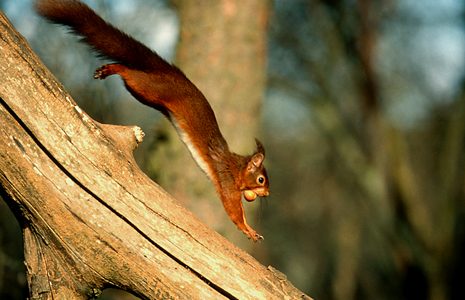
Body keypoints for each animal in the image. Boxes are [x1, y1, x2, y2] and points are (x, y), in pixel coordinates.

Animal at [37, 0, 268, 239]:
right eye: (261, 179)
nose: (267, 194)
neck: (237, 166)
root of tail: (173, 74)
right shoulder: (226, 179)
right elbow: (233, 209)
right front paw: (249, 230)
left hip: (146, 94)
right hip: (149, 88)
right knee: (129, 72)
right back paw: (111, 69)